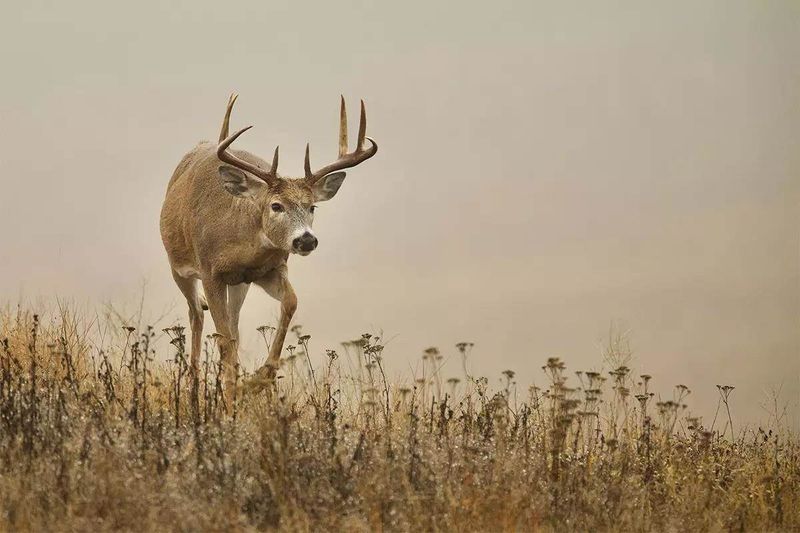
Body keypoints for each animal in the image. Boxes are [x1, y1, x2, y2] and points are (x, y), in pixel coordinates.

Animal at [161, 93, 380, 396]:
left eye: (312, 207)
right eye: (276, 205)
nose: (306, 239)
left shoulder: (268, 269)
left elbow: (290, 302)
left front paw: (260, 377)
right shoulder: (209, 272)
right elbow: (222, 338)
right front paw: (232, 392)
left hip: (239, 285)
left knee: (233, 326)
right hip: (178, 267)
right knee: (197, 314)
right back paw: (194, 386)